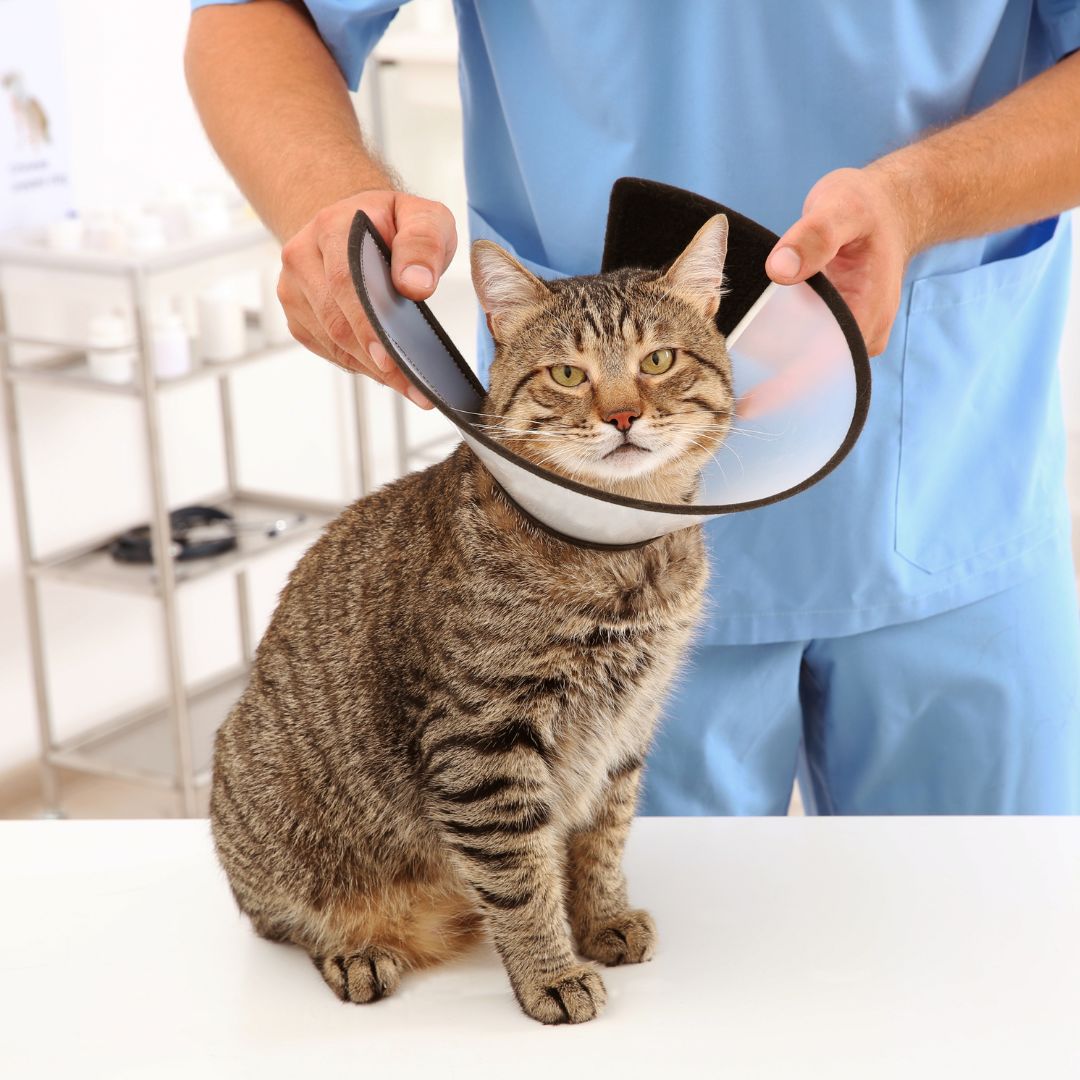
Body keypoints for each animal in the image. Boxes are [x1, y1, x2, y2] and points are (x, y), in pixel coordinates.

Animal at [210, 210, 734, 1019]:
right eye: (567, 374)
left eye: (659, 360)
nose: (622, 414)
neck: (621, 558)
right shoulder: (482, 741)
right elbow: (519, 880)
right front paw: (550, 971)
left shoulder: (628, 727)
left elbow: (602, 840)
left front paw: (602, 918)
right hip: (267, 805)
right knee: (286, 919)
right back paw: (357, 949)